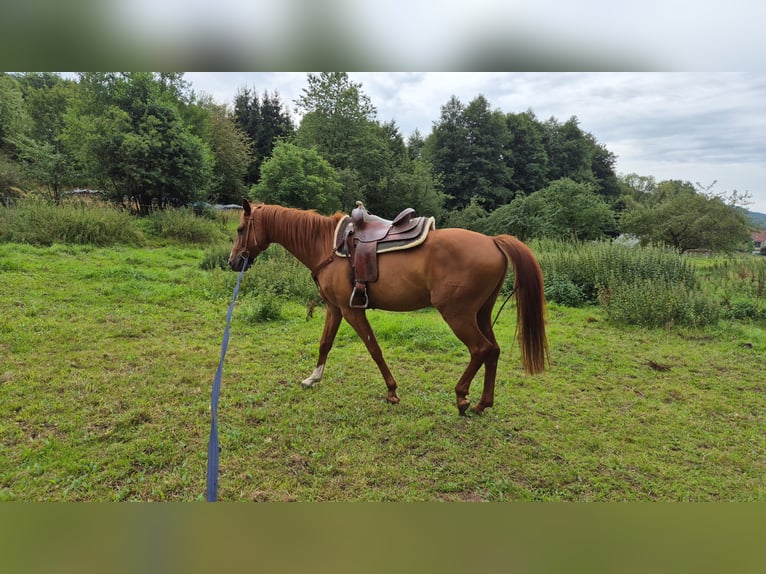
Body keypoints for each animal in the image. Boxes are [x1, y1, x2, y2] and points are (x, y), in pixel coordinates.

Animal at [228, 200, 549, 415]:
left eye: (241, 229)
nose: (232, 262)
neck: (328, 245)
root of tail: (493, 241)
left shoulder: (352, 310)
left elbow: (374, 348)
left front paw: (392, 391)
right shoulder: (335, 309)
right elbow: (324, 343)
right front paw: (313, 378)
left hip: (458, 315)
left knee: (481, 349)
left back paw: (462, 397)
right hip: (481, 314)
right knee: (493, 350)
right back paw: (483, 403)